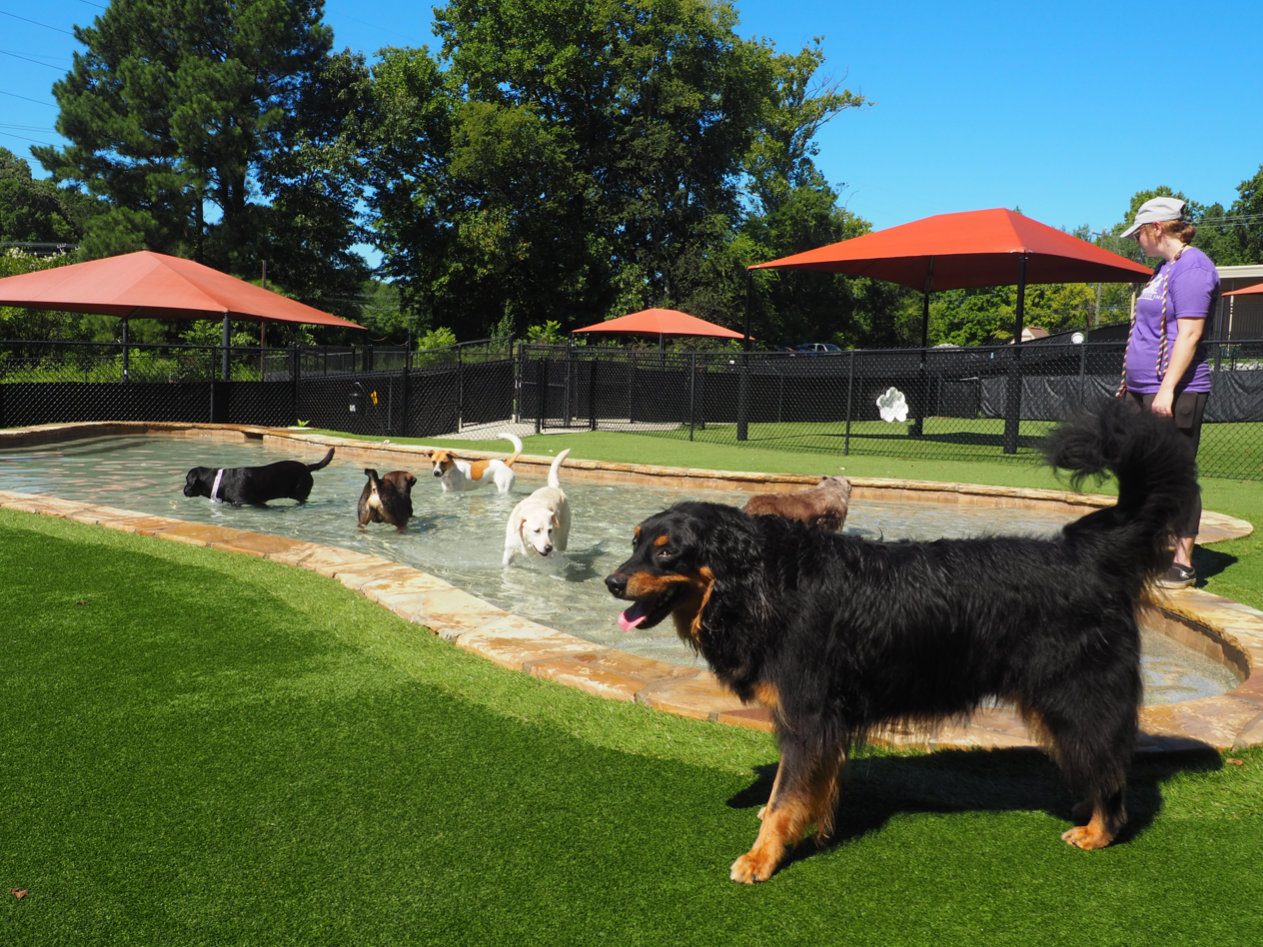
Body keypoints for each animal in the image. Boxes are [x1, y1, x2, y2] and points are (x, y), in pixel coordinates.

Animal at [181, 449, 335, 507]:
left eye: (188, 481)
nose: (183, 490)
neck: (218, 481)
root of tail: (307, 467)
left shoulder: (251, 501)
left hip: (299, 492)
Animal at [606, 404, 1197, 888]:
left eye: (667, 552)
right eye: (636, 542)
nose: (612, 582)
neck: (761, 579)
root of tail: (1086, 553)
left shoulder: (809, 712)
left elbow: (783, 795)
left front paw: (761, 857)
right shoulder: (819, 721)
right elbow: (803, 785)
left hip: (1073, 692)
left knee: (1109, 762)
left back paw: (1101, 828)